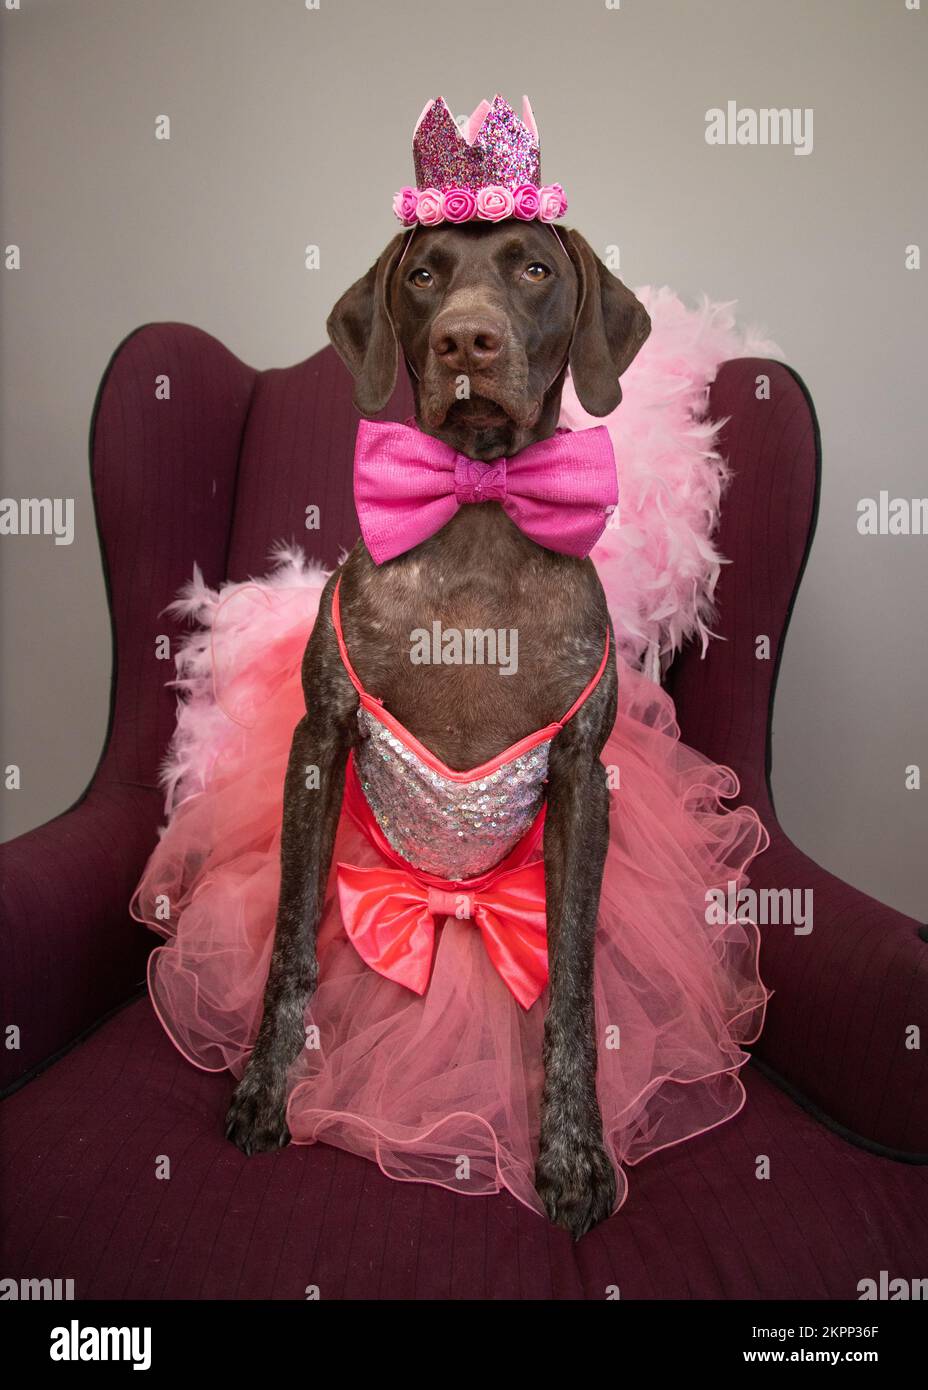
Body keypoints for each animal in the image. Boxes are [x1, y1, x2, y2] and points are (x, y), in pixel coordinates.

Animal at [222, 216, 652, 1239]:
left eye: (534, 269)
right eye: (423, 276)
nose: (466, 341)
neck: (478, 507)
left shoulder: (583, 777)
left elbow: (572, 980)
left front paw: (575, 1152)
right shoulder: (317, 743)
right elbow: (291, 939)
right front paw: (264, 1086)